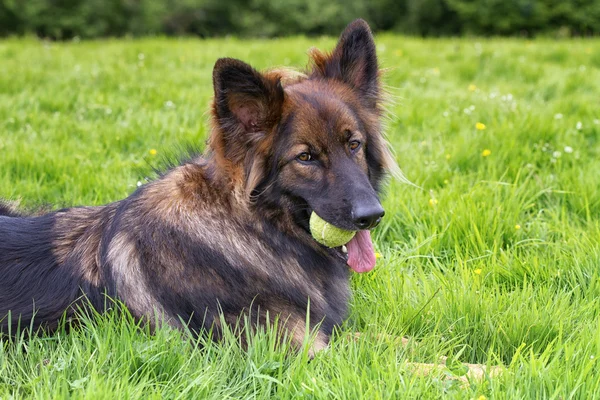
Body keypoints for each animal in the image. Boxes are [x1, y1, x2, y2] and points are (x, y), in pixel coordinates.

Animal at [2, 20, 400, 352]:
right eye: (305, 157)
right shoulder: (298, 347)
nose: (372, 215)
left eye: (354, 144)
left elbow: (391, 338)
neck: (253, 231)